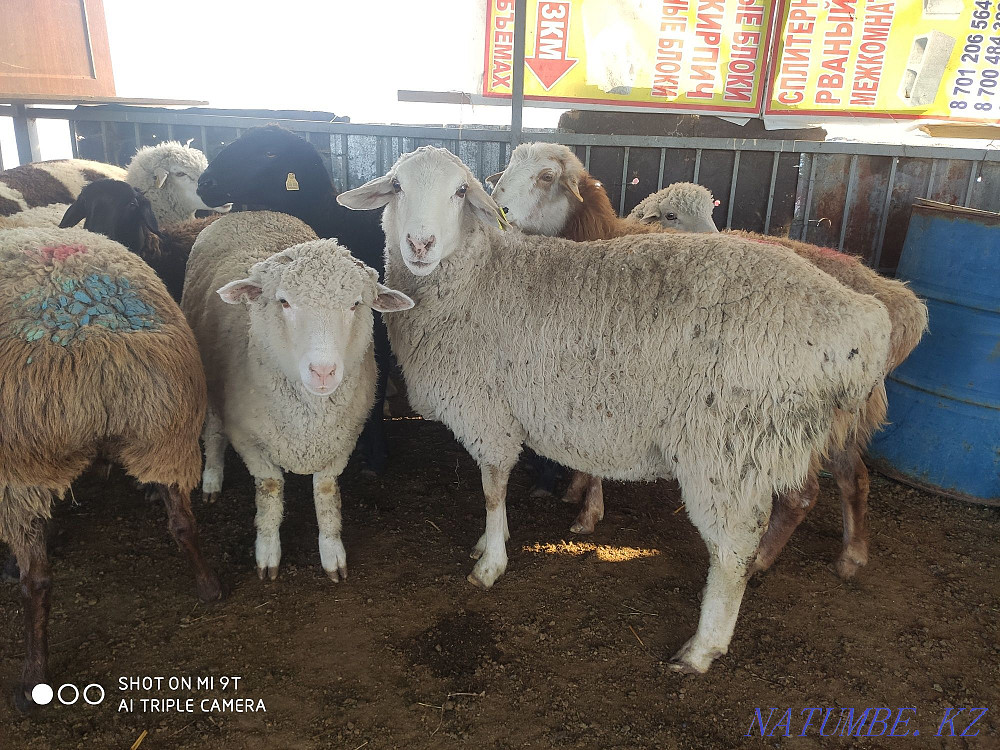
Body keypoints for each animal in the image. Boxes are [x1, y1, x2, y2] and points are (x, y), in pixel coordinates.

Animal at [0, 226, 221, 709]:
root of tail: (99, 344)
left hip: (22, 467)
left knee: (37, 580)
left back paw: (32, 676)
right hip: (166, 434)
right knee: (184, 524)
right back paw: (208, 587)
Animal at [181, 212, 412, 580]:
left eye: (356, 304)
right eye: (284, 301)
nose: (323, 371)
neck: (309, 418)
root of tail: (248, 213)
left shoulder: (341, 441)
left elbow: (326, 492)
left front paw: (332, 553)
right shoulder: (250, 442)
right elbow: (270, 491)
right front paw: (267, 553)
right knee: (213, 432)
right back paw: (212, 479)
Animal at [338, 146, 892, 673]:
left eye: (459, 192)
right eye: (397, 186)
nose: (420, 245)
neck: (478, 278)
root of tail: (863, 320)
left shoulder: (489, 415)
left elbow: (493, 491)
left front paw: (489, 563)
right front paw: (488, 546)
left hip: (724, 447)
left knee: (734, 548)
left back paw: (701, 649)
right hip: (769, 441)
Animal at [628, 180, 929, 577]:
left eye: (711, 212)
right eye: (671, 215)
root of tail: (900, 305)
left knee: (803, 494)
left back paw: (761, 558)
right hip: (846, 416)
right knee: (855, 478)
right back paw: (852, 555)